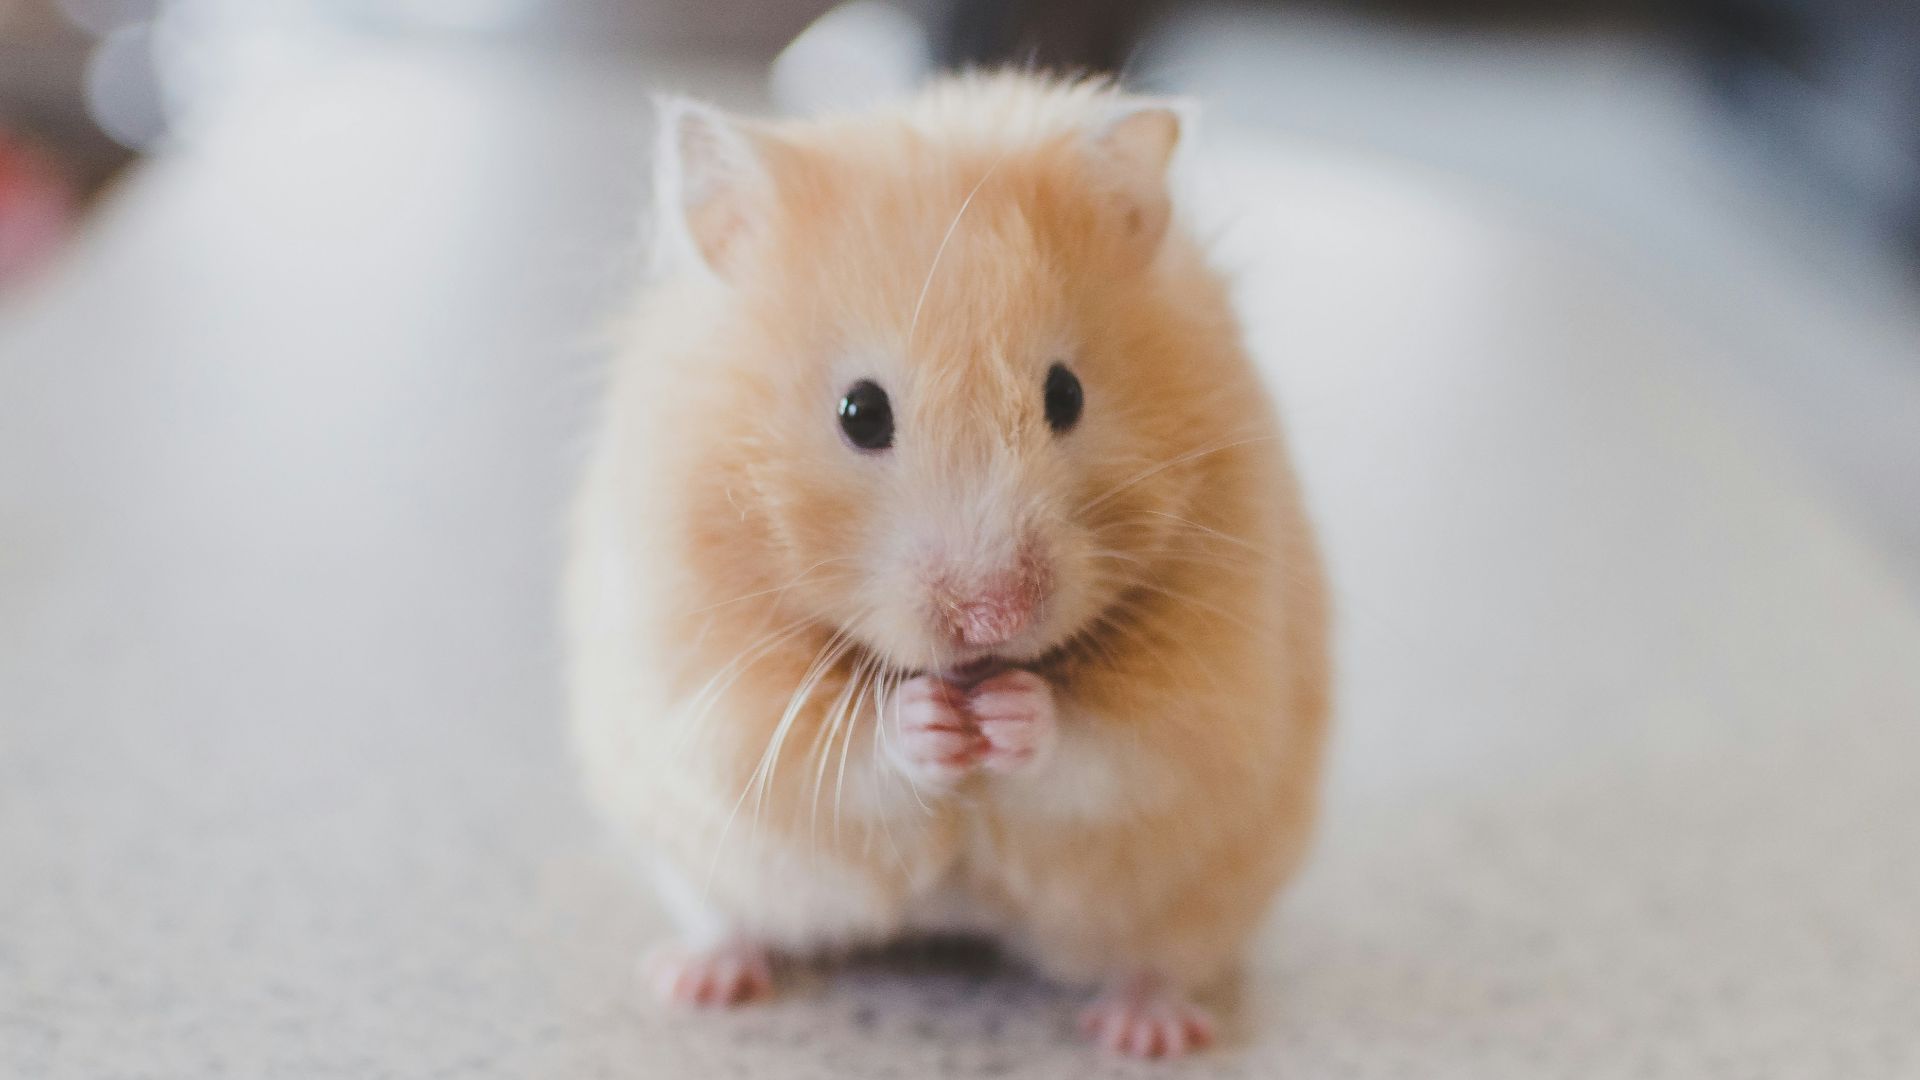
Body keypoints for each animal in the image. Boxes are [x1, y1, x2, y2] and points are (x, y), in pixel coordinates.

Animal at [565, 73, 1329, 1059]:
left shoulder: (1211, 691)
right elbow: (838, 751)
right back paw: (696, 980)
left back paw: (1146, 1033)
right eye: (860, 412)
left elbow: (1110, 749)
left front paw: (1010, 714)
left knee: (1159, 958)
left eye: (1066, 395)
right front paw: (930, 721)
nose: (994, 617)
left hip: (1208, 895)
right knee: (730, 919)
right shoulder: (711, 687)